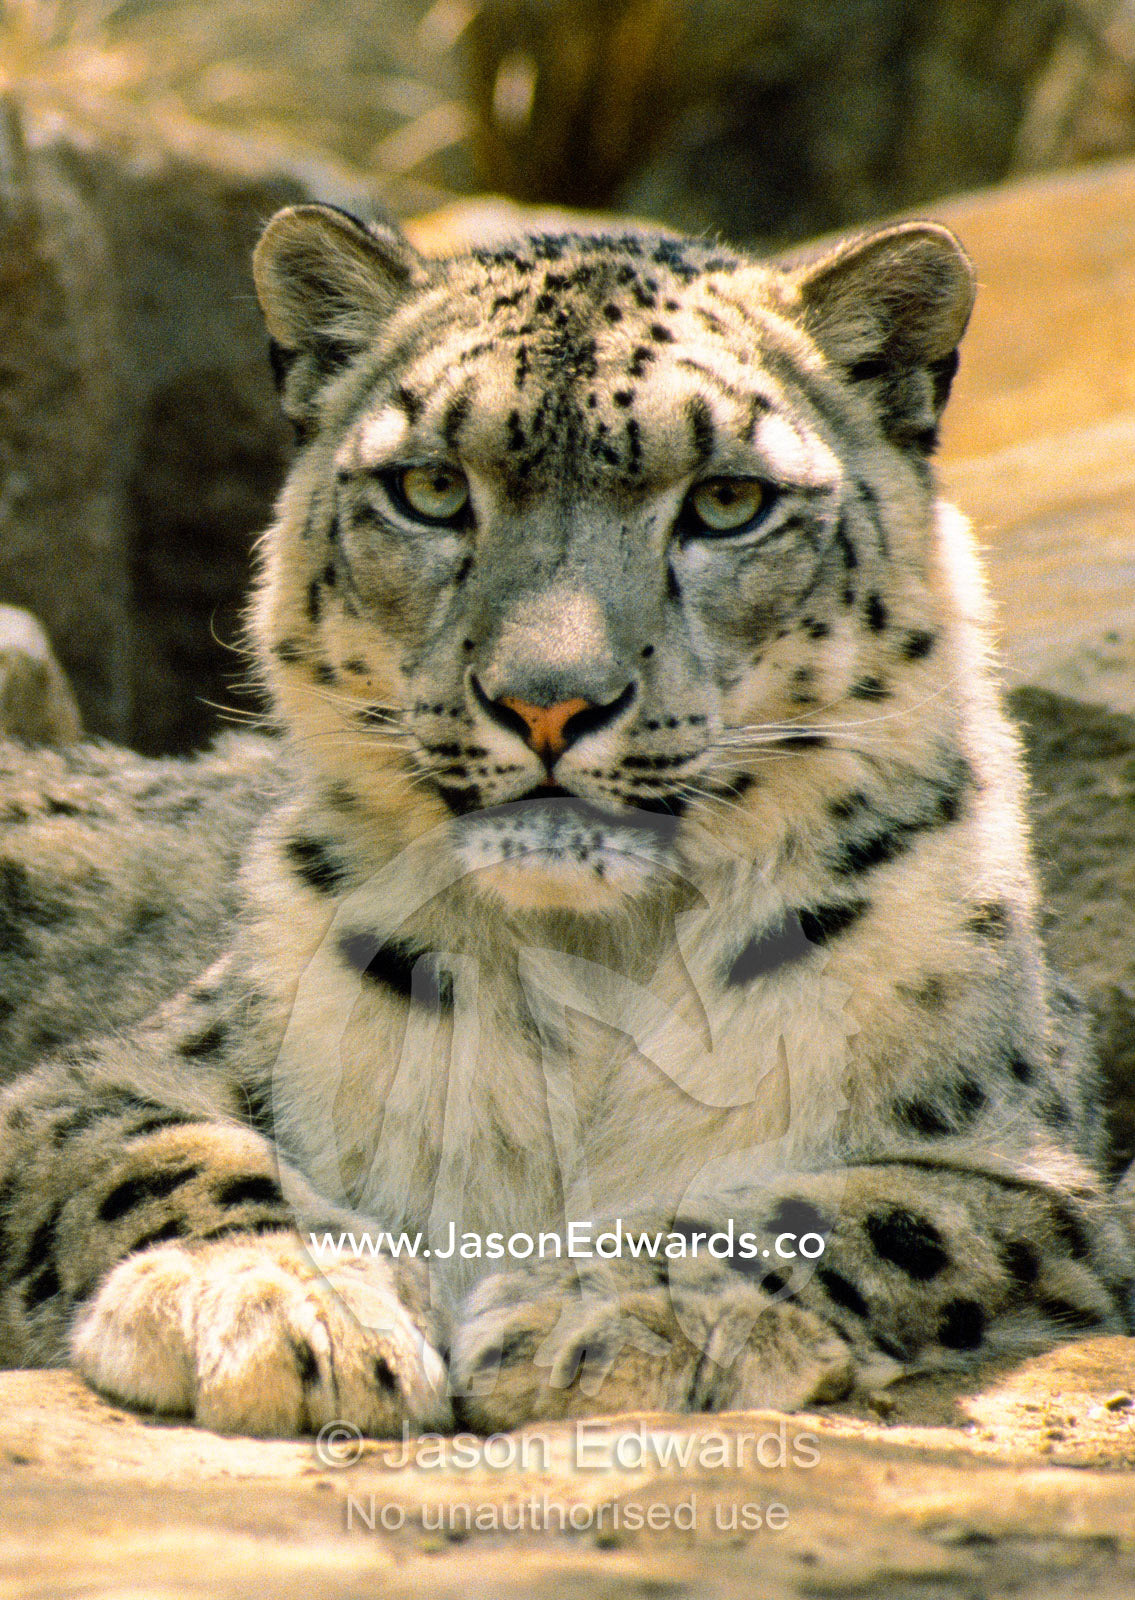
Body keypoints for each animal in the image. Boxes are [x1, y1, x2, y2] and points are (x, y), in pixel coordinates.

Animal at [0, 202, 1132, 1439]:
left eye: (727, 501)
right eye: (430, 487)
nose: (549, 699)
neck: (597, 960)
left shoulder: (1029, 1171)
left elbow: (853, 1213)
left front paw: (599, 1313)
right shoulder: (99, 1081)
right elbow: (165, 1154)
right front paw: (281, 1298)